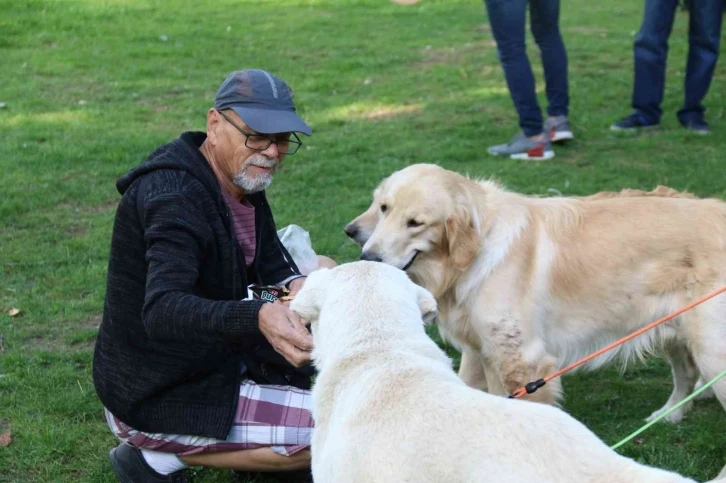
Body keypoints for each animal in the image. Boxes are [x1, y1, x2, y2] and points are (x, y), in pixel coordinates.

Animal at [346, 164, 726, 430]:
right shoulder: (480, 349)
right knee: (685, 375)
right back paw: (668, 415)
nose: (368, 257)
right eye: (383, 208)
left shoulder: (527, 364)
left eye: (415, 223)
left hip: (712, 350)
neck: (474, 255)